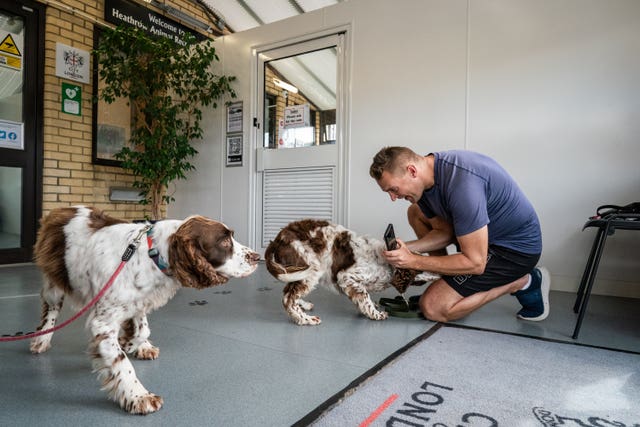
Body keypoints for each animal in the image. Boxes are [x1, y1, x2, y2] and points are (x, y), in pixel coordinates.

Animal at [29, 206, 260, 414]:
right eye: (224, 242)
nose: (257, 257)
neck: (152, 253)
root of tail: (58, 211)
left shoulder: (138, 300)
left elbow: (142, 329)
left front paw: (131, 343)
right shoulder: (103, 321)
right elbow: (121, 360)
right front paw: (138, 396)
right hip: (54, 285)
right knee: (50, 311)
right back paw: (42, 339)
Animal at [264, 219, 440, 326]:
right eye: (420, 267)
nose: (441, 273)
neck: (387, 263)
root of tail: (278, 239)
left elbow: (362, 298)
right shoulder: (346, 276)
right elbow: (365, 297)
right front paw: (376, 314)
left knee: (290, 291)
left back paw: (304, 305)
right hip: (311, 268)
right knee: (288, 297)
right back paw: (305, 319)